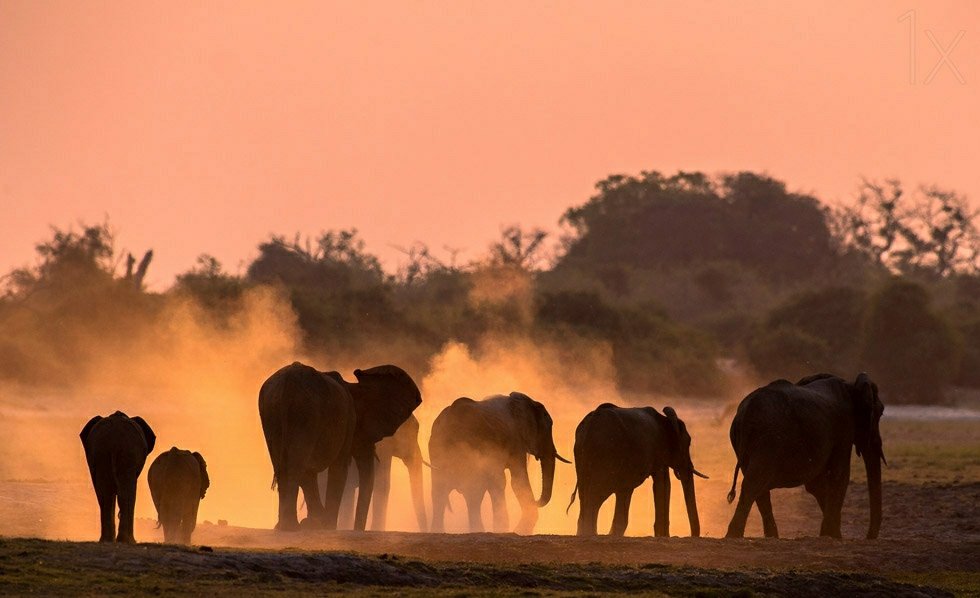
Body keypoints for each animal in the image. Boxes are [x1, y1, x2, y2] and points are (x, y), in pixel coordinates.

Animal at [79, 411, 156, 543]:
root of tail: (114, 442)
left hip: (106, 453)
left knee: (107, 495)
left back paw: (109, 540)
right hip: (124, 454)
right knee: (123, 493)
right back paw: (125, 540)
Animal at [258, 361, 422, 531]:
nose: (358, 530)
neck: (353, 386)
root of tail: (287, 384)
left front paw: (316, 523)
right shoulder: (348, 422)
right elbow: (340, 466)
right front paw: (326, 525)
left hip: (272, 414)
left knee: (286, 464)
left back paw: (285, 526)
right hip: (304, 414)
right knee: (297, 463)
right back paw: (291, 526)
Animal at [429, 392, 570, 534]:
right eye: (548, 426)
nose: (536, 501)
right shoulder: (516, 441)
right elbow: (518, 481)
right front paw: (518, 530)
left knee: (441, 491)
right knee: (474, 490)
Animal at [569, 403, 706, 537]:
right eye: (688, 443)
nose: (692, 535)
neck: (666, 419)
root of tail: (590, 425)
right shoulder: (659, 451)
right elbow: (663, 484)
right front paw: (663, 536)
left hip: (582, 457)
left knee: (587, 495)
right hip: (605, 456)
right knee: (596, 495)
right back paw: (591, 534)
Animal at [725, 373, 886, 539]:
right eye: (880, 413)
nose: (868, 537)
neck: (851, 385)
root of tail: (745, 414)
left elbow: (817, 485)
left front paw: (829, 535)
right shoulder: (844, 429)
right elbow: (840, 476)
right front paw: (833, 536)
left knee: (758, 488)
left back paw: (770, 537)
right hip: (768, 440)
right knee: (753, 483)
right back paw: (734, 535)